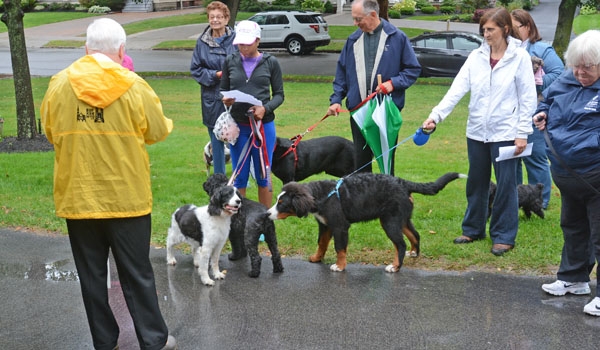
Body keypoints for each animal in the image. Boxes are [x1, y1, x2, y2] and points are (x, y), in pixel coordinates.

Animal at [268, 172, 468, 274]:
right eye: (277, 200)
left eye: (281, 203)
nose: (268, 213)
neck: (322, 195)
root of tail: (403, 183)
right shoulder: (325, 225)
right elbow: (322, 243)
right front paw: (317, 258)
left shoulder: (340, 226)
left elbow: (340, 248)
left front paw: (339, 266)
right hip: (401, 218)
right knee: (415, 235)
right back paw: (413, 253)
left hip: (389, 221)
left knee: (400, 244)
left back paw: (395, 266)